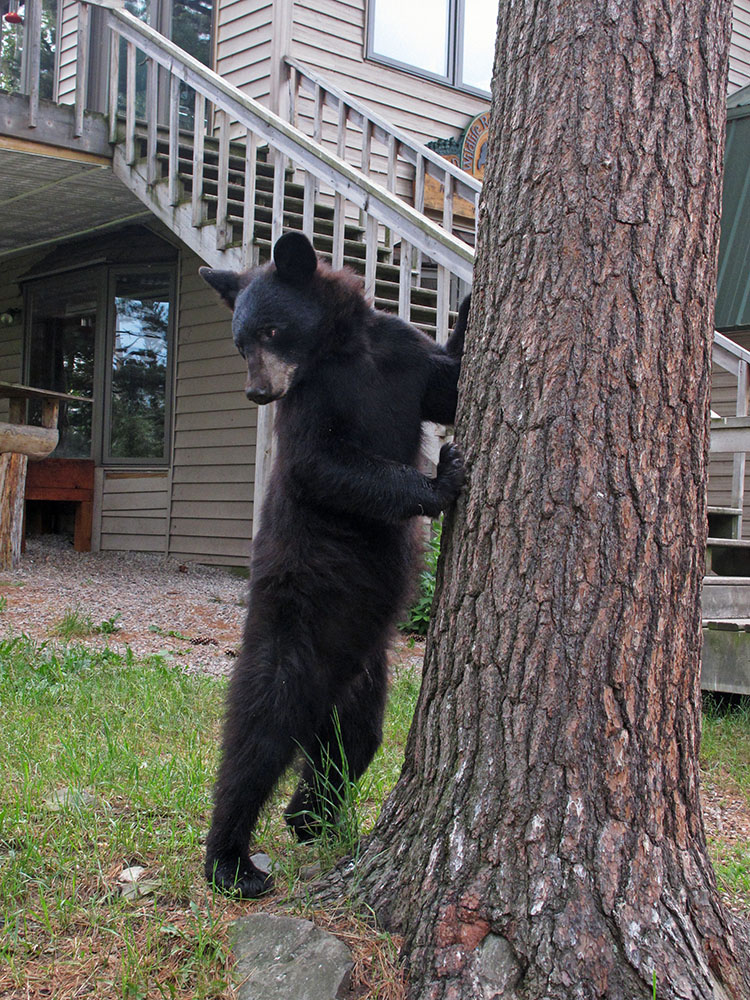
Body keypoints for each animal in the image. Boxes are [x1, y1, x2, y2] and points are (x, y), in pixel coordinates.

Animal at [199, 231, 468, 898]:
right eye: (238, 343)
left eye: (269, 330)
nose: (256, 393)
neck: (348, 351)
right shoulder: (313, 403)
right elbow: (324, 465)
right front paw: (441, 478)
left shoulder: (402, 356)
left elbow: (446, 385)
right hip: (292, 635)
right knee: (258, 738)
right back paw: (232, 861)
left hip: (367, 673)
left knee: (351, 741)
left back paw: (310, 818)